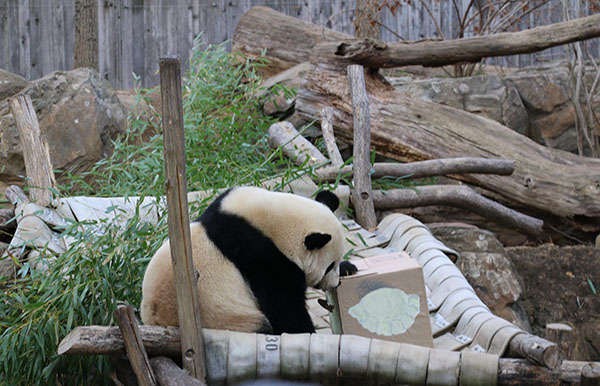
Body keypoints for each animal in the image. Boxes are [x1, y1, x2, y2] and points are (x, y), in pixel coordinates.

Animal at [140, 185, 354, 334]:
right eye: (328, 267)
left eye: (336, 264)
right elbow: (283, 306)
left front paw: (349, 267)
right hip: (229, 318)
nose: (334, 283)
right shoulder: (264, 257)